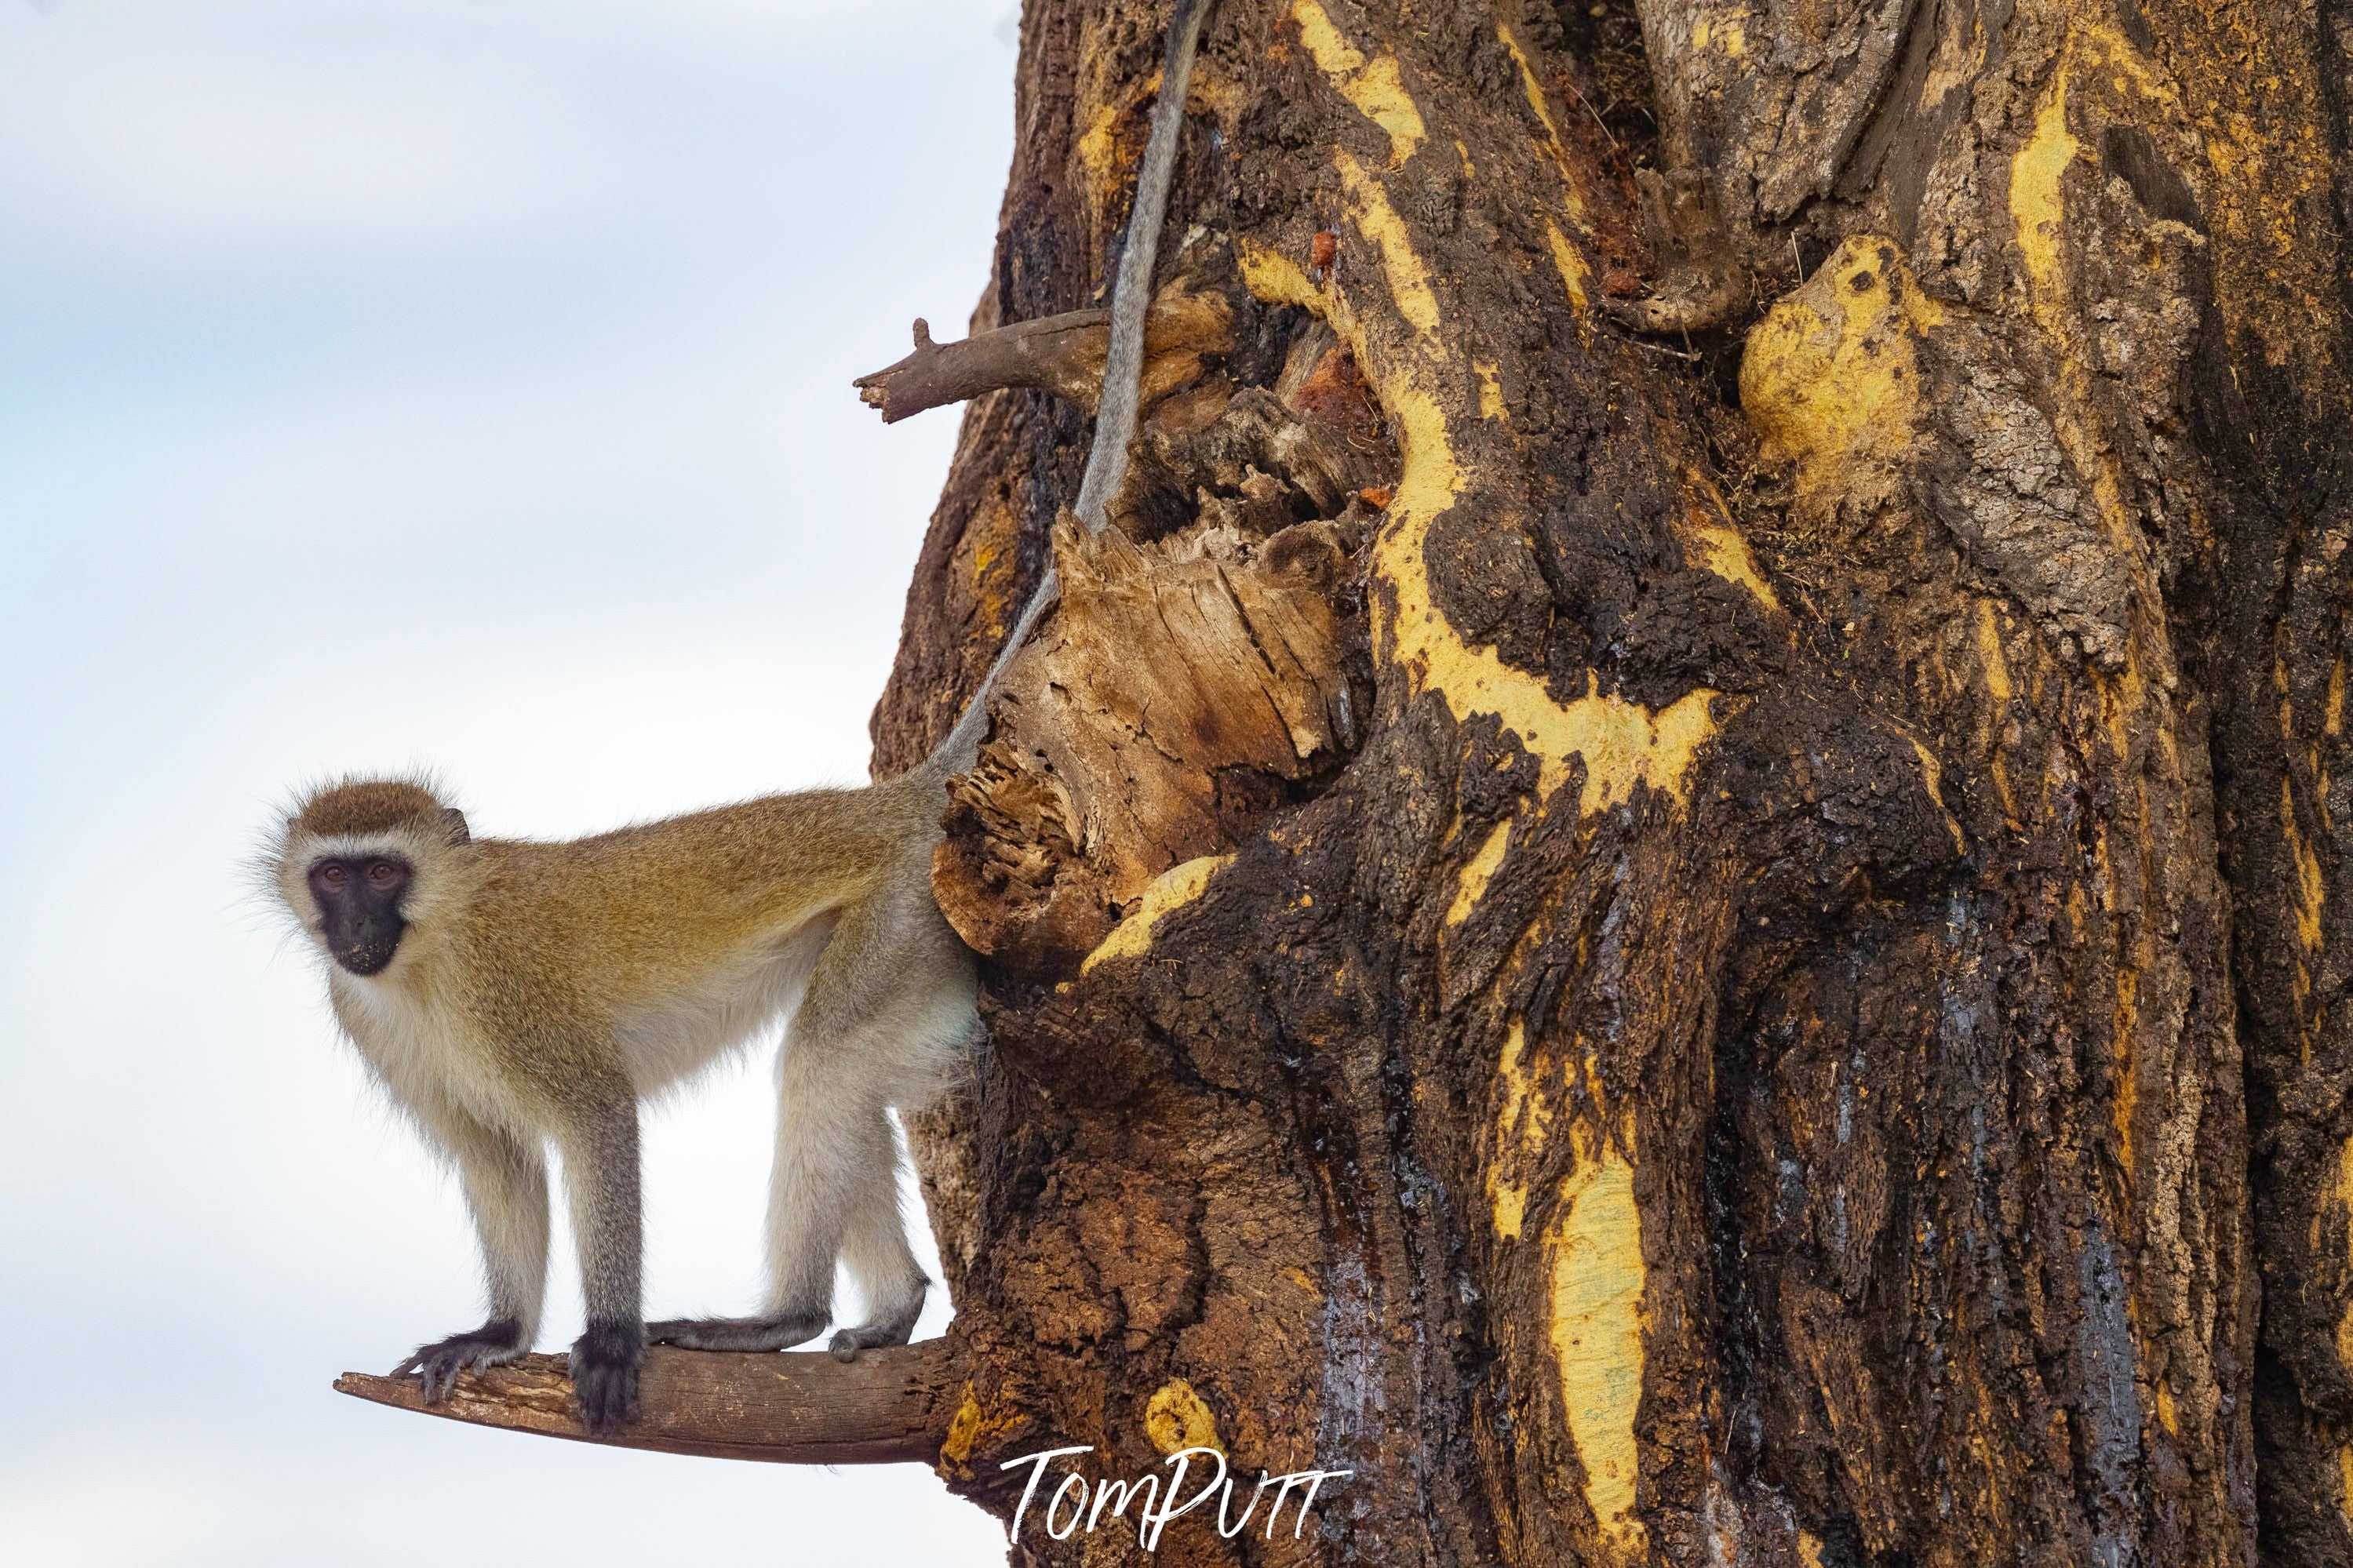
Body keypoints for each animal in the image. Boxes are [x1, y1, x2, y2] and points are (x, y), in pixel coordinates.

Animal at [270, 0, 1214, 1439]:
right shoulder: (369, 1018)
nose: (358, 927)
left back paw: (787, 1312)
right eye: (335, 881)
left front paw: (602, 1332)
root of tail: (900, 798)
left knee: (822, 1062)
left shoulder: (514, 999)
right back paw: (878, 1306)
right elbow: (499, 1161)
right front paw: (495, 1328)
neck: (428, 959)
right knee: (842, 1075)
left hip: (900, 918)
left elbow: (594, 1124)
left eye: (383, 873)